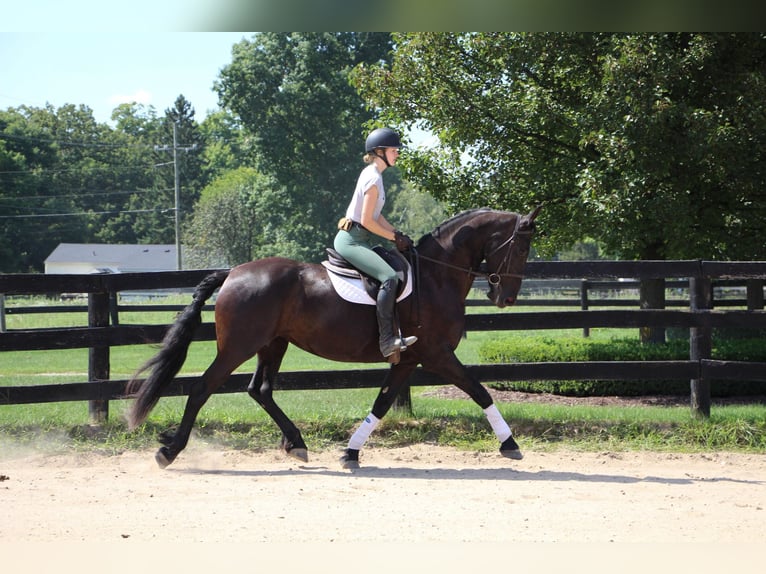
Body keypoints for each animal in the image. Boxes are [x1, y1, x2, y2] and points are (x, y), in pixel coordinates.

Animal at [127, 207, 540, 468]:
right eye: (521, 247)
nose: (506, 298)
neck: (436, 276)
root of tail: (232, 272)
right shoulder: (437, 354)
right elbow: (479, 390)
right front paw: (511, 444)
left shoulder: (409, 359)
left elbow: (382, 402)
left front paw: (351, 453)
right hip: (238, 346)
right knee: (202, 389)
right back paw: (170, 451)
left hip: (273, 344)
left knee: (260, 390)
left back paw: (296, 443)